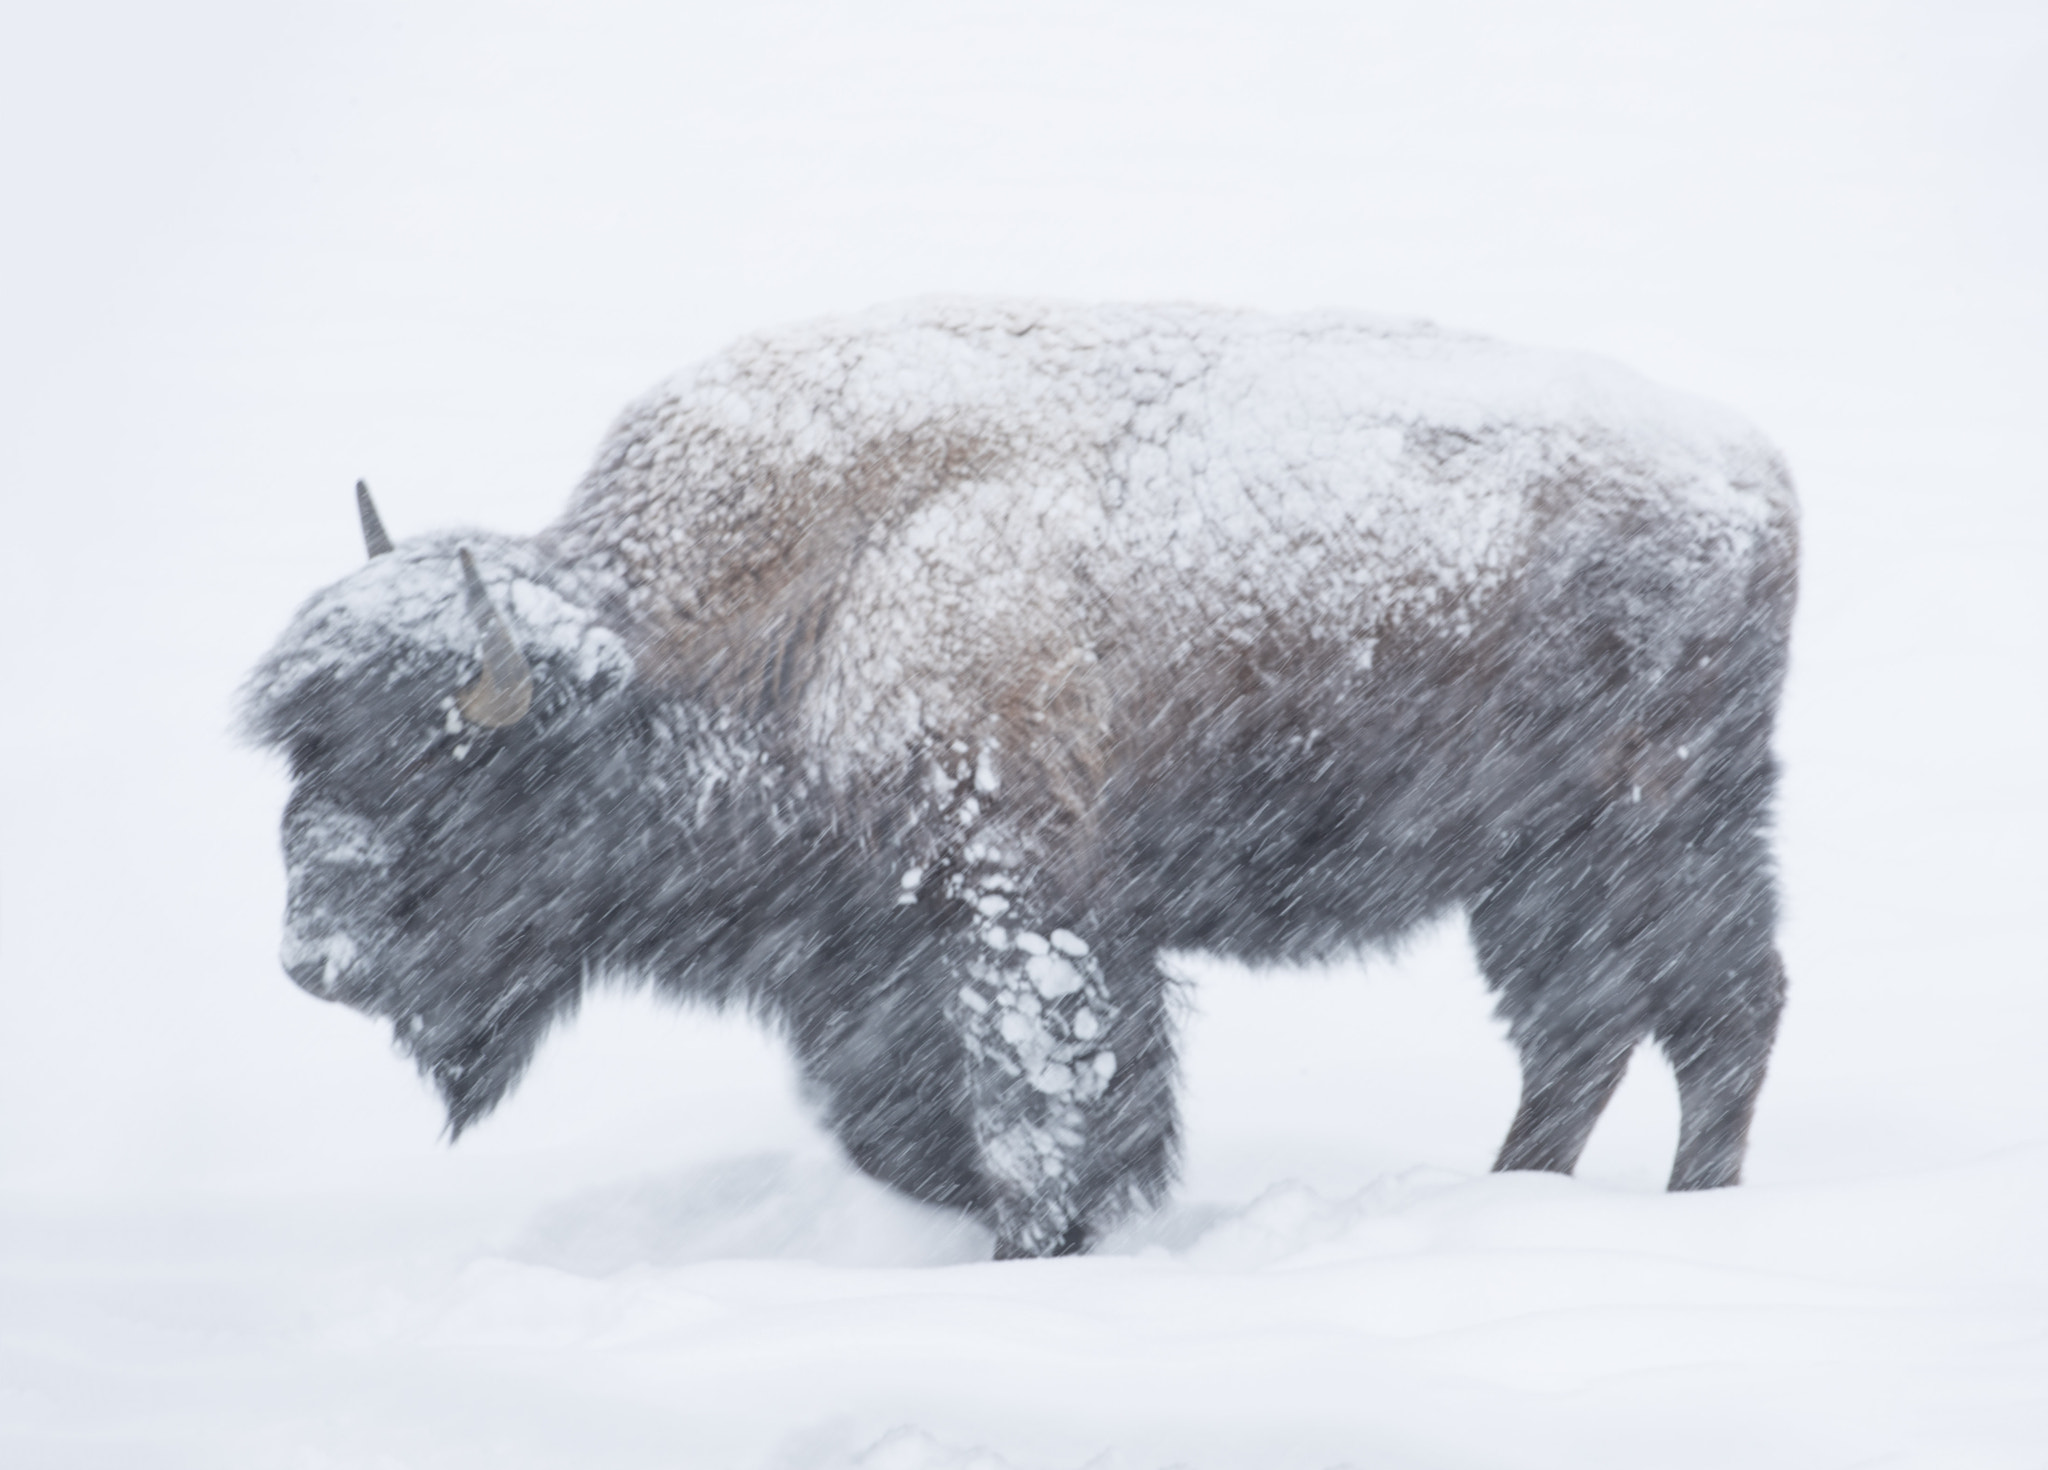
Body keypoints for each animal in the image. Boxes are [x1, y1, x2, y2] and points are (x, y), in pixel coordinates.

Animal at [244, 300, 1796, 1258]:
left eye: (448, 777)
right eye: (307, 752)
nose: (315, 961)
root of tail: (1750, 469)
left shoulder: (1016, 913)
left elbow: (1042, 1113)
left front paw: (1037, 1250)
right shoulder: (859, 959)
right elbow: (904, 1125)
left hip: (1659, 828)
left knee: (1716, 1013)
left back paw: (1695, 1211)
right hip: (1533, 867)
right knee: (1583, 1028)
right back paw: (1514, 1196)